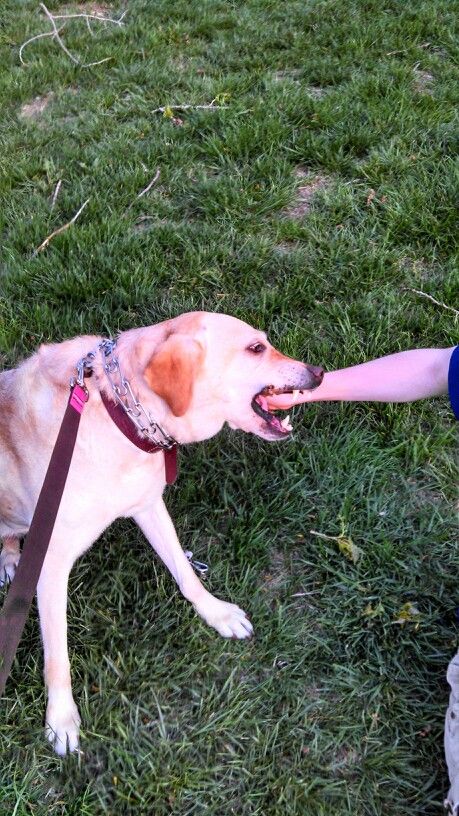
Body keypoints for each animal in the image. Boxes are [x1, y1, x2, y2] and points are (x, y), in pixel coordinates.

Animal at [0, 310, 324, 752]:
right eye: (257, 347)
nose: (319, 372)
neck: (117, 414)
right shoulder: (50, 562)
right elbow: (57, 657)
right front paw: (61, 719)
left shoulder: (149, 505)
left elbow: (185, 573)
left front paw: (217, 613)